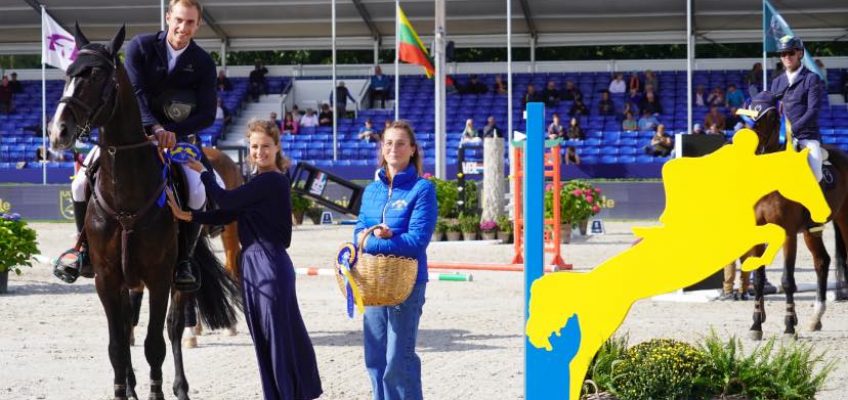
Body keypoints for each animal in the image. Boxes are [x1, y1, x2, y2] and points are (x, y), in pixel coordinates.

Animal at [48, 25, 240, 400]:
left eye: (97, 76)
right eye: (67, 75)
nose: (58, 132)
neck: (126, 195)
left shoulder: (159, 277)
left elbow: (155, 343)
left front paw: (155, 391)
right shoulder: (107, 279)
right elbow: (117, 346)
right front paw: (124, 390)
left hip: (177, 277)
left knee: (174, 328)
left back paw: (180, 386)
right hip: (128, 280)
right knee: (128, 326)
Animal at [744, 91, 848, 340]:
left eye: (772, 116)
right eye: (748, 114)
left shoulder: (788, 234)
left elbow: (787, 280)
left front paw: (790, 326)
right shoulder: (758, 231)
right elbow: (758, 279)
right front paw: (756, 325)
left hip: (845, 219)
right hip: (812, 231)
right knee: (822, 261)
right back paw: (815, 319)